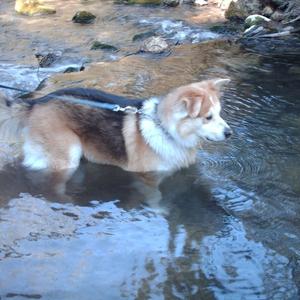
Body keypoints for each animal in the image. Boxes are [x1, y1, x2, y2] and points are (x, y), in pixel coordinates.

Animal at [0, 79, 232, 178]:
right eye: (208, 117)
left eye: (220, 113)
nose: (229, 133)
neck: (165, 129)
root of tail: (35, 103)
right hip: (66, 156)